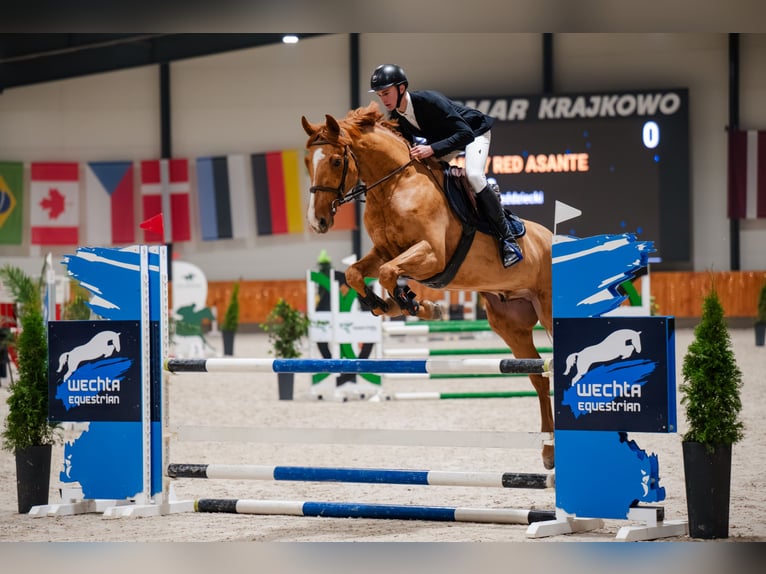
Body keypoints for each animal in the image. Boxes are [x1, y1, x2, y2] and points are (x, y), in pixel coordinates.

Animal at [301, 102, 555, 469]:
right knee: (539, 375)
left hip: (549, 310)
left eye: (335, 161)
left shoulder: (432, 254)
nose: (317, 221)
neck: (394, 186)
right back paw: (549, 452)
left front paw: (412, 303)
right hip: (510, 323)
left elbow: (389, 274)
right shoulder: (384, 252)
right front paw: (394, 305)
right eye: (308, 162)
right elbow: (357, 274)